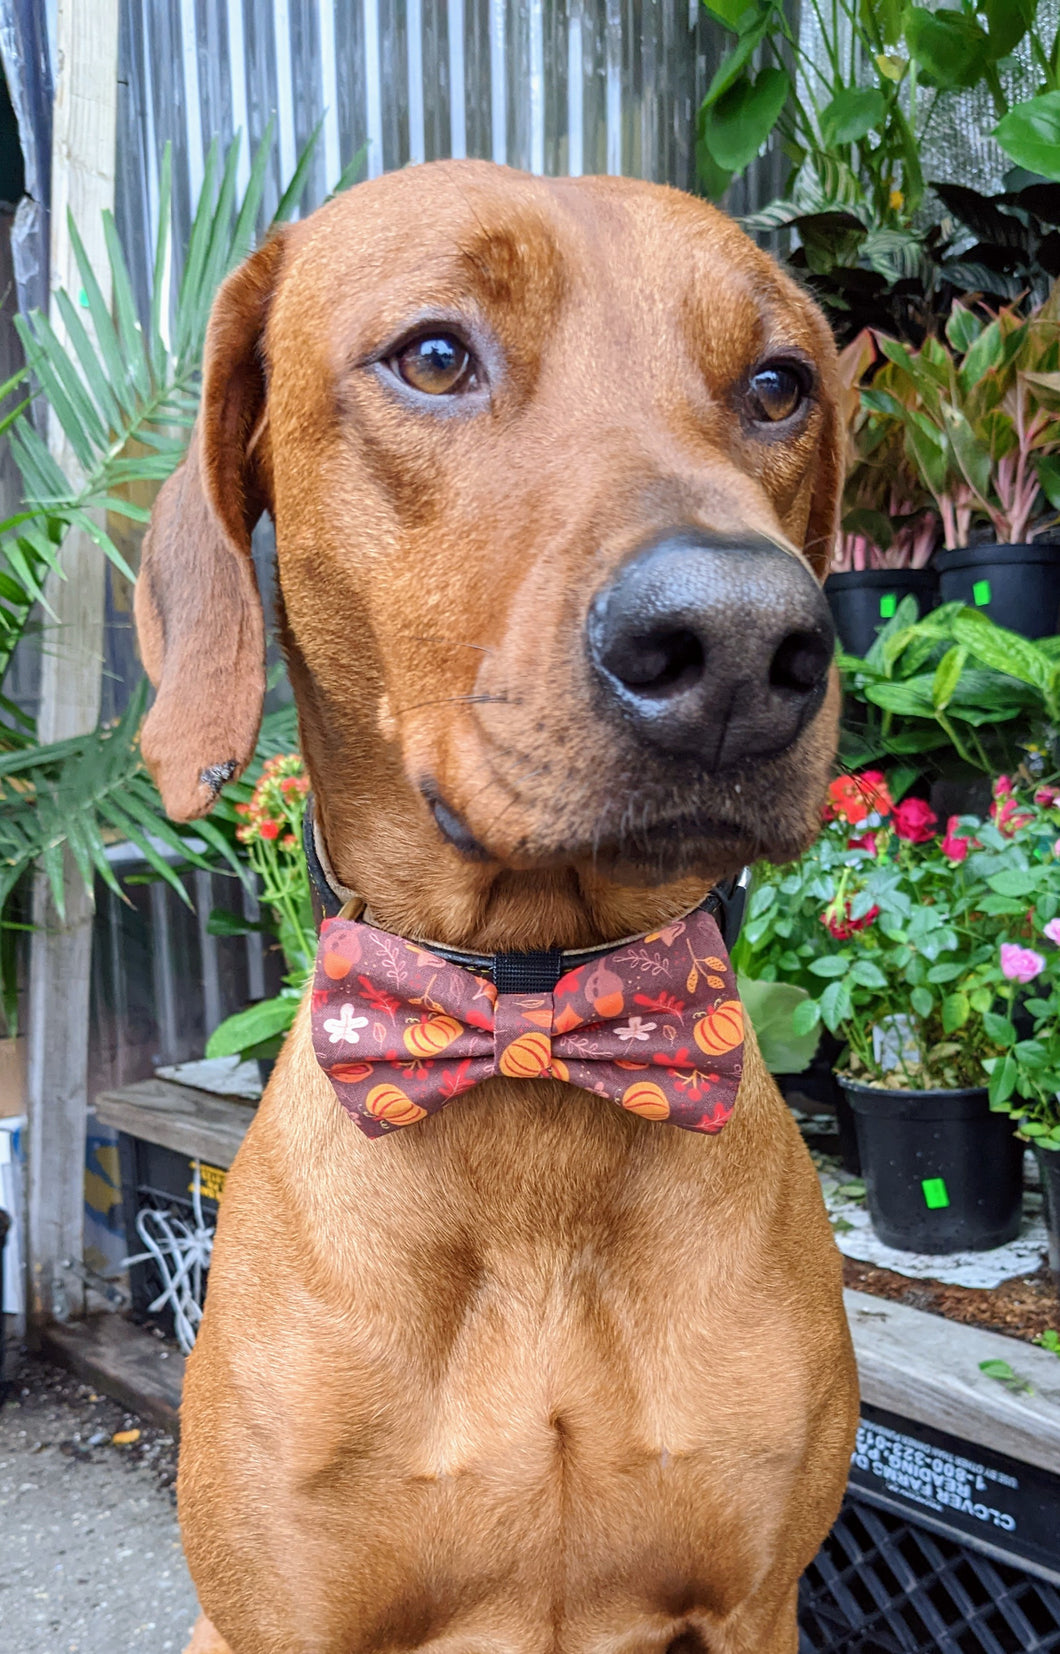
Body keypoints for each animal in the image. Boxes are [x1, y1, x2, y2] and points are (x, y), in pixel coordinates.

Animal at [136, 157, 853, 1654]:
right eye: (433, 356)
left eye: (777, 384)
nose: (741, 641)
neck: (532, 1017)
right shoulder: (278, 1617)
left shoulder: (758, 1599)